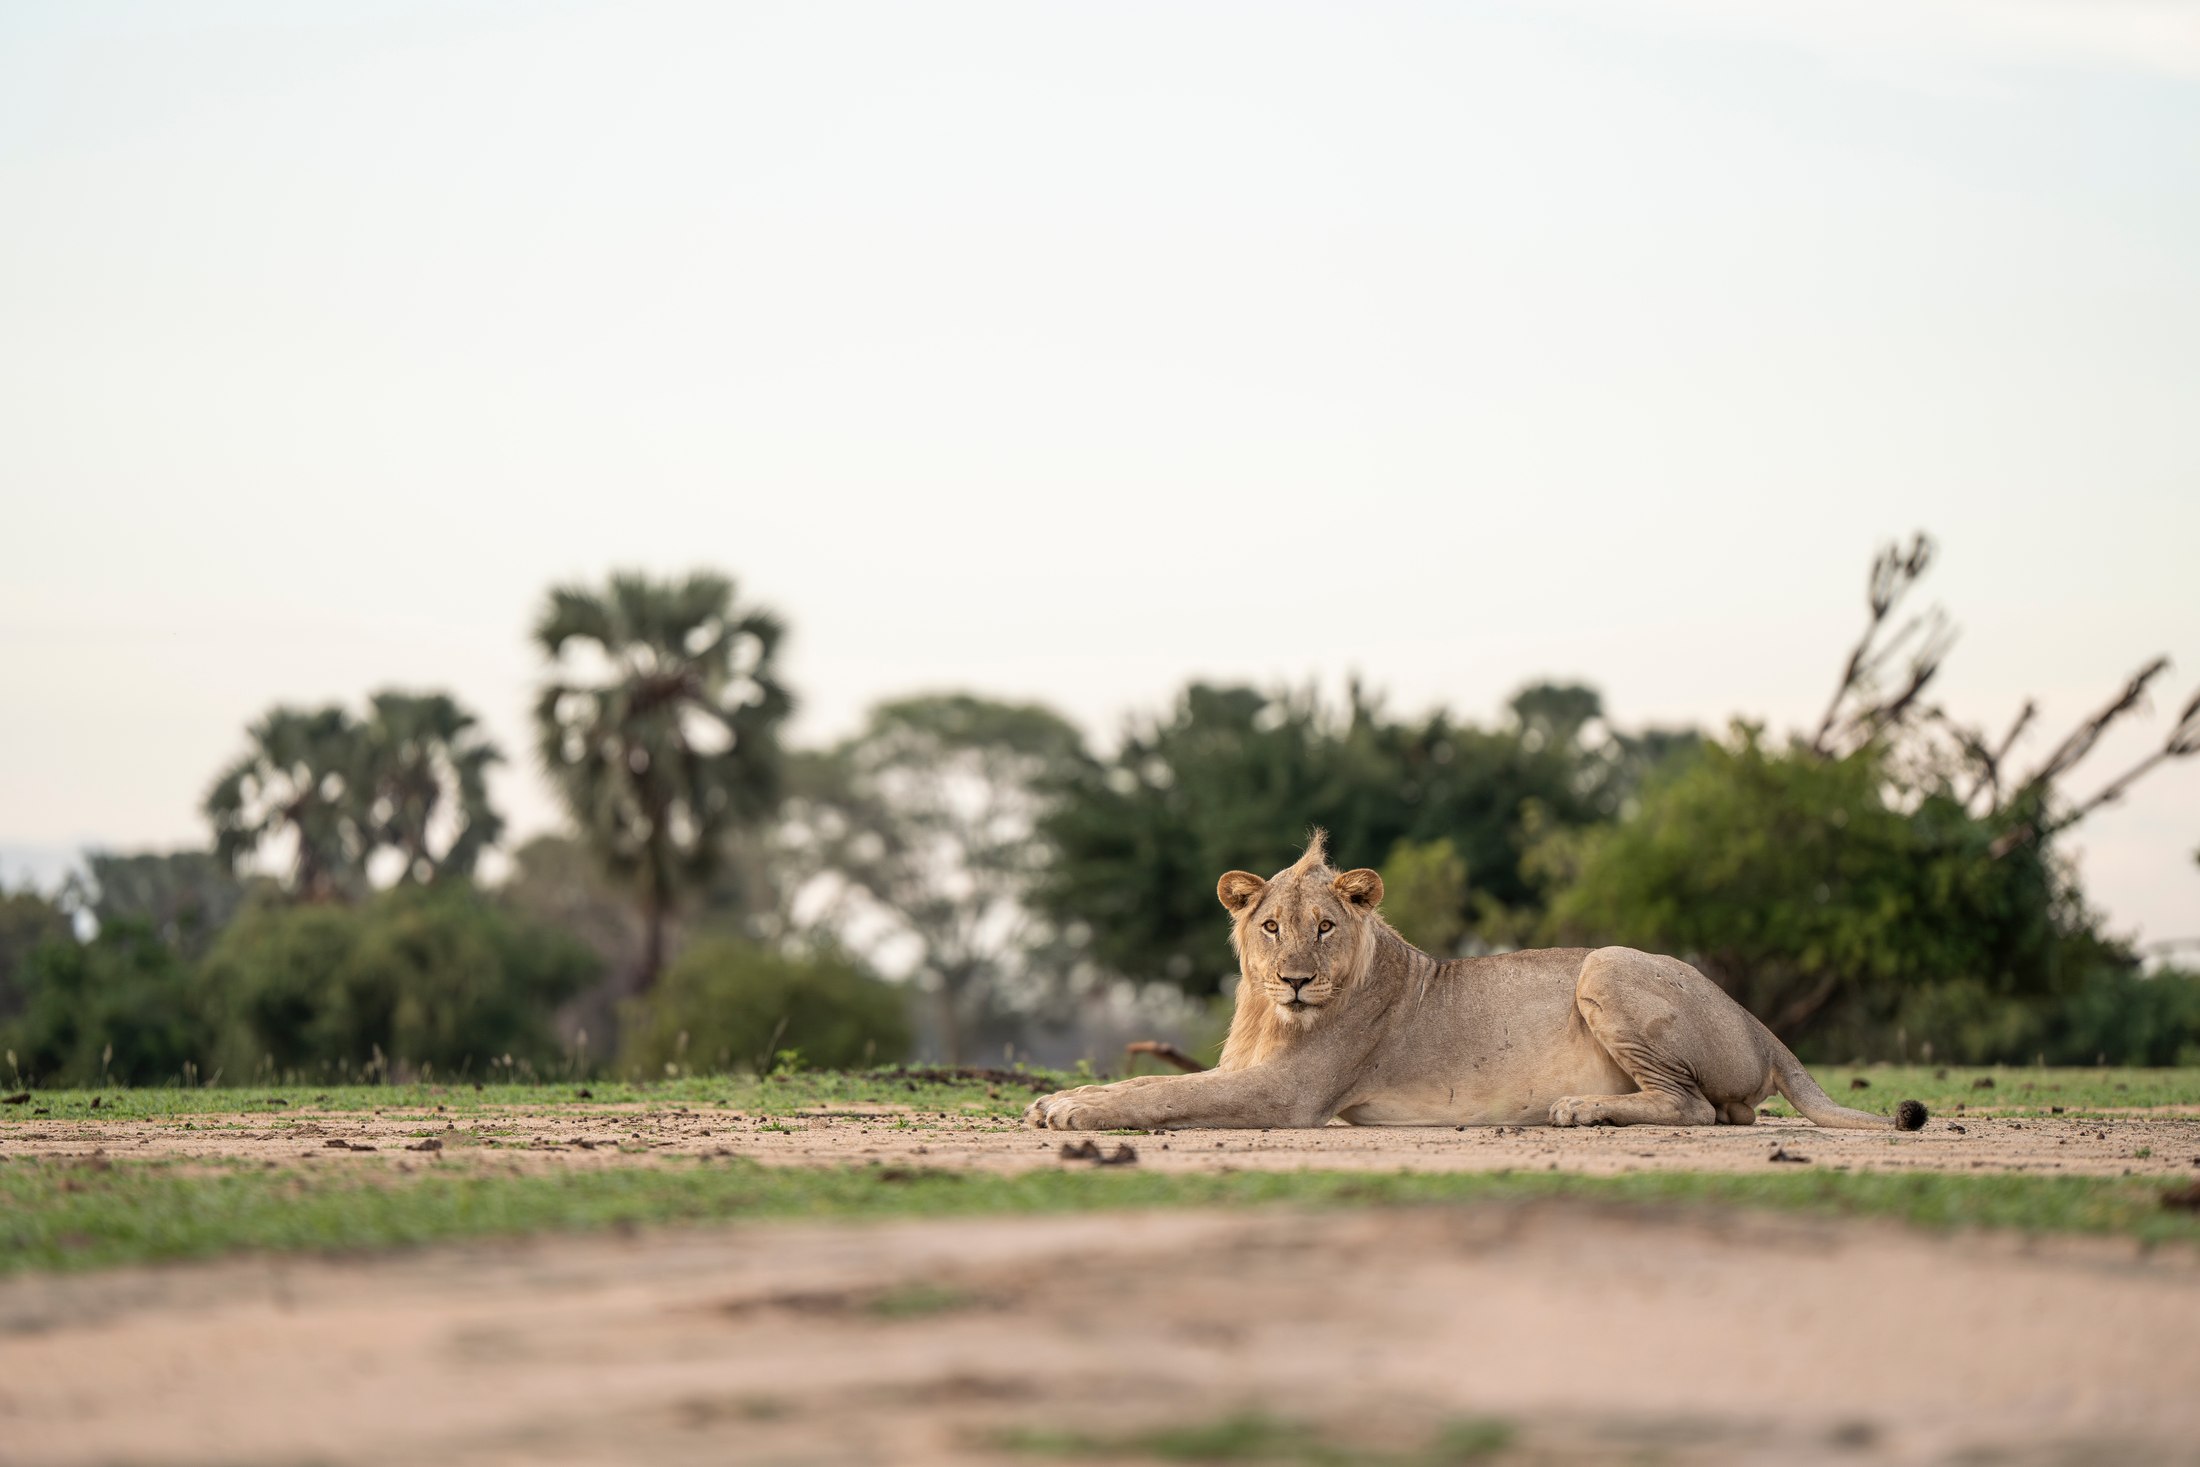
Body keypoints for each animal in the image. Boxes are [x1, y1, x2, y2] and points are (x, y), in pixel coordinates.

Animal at [1027, 832, 1927, 1133]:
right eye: (1270, 925)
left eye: (1326, 926)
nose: (1295, 980)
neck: (1267, 1015)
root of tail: (1758, 1021)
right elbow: (1144, 1079)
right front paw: (1055, 1100)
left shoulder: (1291, 1094)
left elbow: (1164, 1091)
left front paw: (1069, 1110)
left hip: (1604, 962)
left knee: (1700, 1108)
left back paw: (1578, 1108)